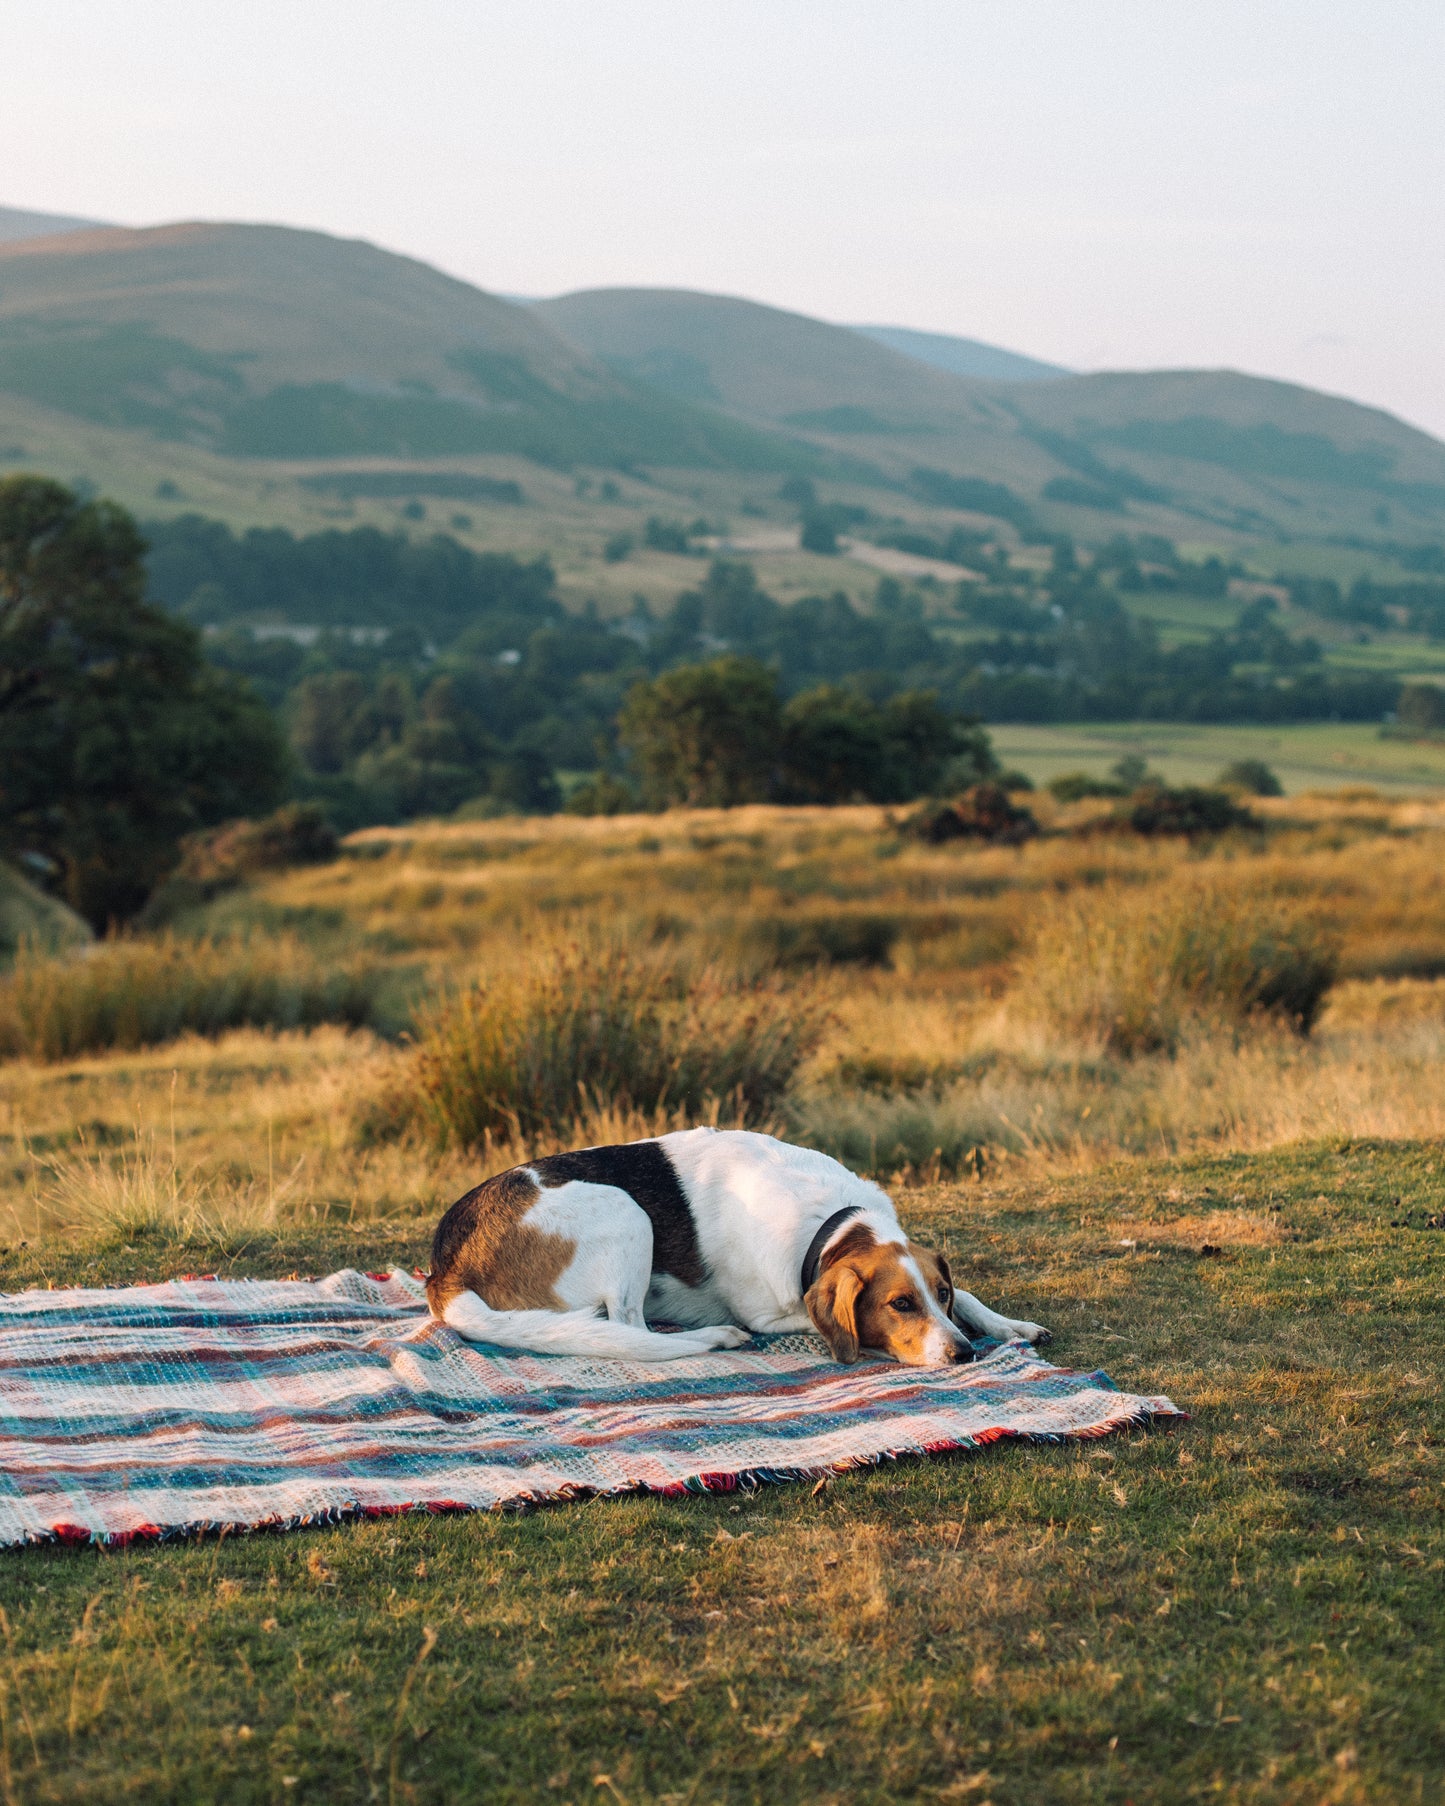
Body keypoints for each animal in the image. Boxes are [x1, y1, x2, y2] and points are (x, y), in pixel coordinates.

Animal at [422, 1126, 1047, 1365]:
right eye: (900, 1305)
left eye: (938, 1294)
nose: (964, 1354)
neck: (830, 1221)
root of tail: (445, 1268)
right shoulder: (771, 1315)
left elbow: (972, 1297)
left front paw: (1007, 1324)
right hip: (626, 1213)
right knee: (630, 1328)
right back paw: (711, 1338)